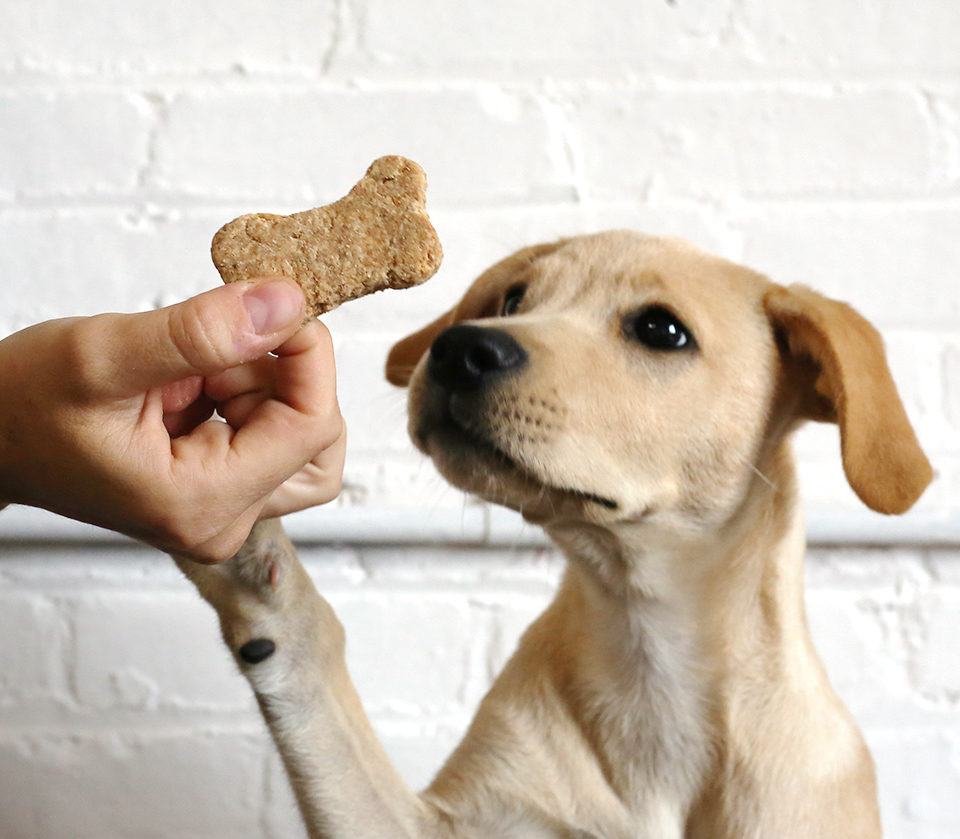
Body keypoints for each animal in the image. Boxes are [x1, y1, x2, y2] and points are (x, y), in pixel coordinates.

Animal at [174, 231, 928, 839]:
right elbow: (316, 684)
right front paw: (253, 562)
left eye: (662, 329)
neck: (646, 644)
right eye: (512, 298)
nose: (459, 347)